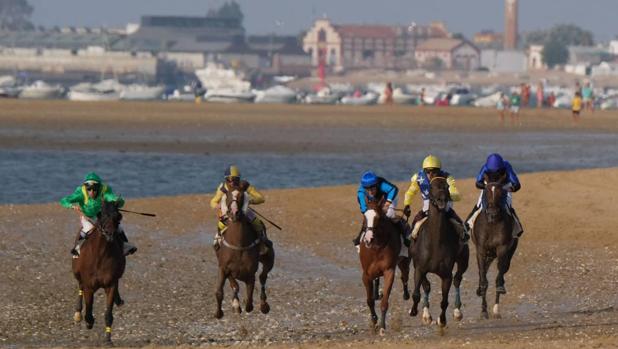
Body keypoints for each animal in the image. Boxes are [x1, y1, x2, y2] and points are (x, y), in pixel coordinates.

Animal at [71, 200, 125, 344]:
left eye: (118, 216)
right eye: (101, 214)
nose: (109, 234)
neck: (100, 256)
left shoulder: (110, 284)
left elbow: (108, 314)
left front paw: (108, 339)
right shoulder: (89, 286)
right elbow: (89, 309)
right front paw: (88, 321)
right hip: (77, 273)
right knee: (80, 287)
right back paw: (78, 313)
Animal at [213, 184, 274, 316]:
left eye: (241, 196)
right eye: (228, 195)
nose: (234, 212)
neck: (238, 244)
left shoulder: (250, 272)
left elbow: (249, 300)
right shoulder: (223, 267)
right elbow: (222, 290)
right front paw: (219, 312)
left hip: (268, 259)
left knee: (263, 277)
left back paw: (264, 305)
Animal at [356, 196, 410, 334]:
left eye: (378, 218)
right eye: (365, 217)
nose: (368, 239)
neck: (376, 248)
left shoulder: (389, 271)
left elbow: (385, 302)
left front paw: (382, 326)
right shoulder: (366, 274)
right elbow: (369, 300)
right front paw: (374, 322)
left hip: (404, 261)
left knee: (405, 277)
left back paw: (406, 294)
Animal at [410, 177, 466, 328]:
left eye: (447, 186)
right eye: (431, 187)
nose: (442, 199)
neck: (435, 243)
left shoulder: (446, 275)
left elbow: (444, 301)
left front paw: (442, 320)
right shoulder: (419, 268)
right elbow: (418, 292)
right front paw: (414, 311)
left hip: (463, 261)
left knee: (457, 279)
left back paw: (457, 312)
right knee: (427, 286)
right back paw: (426, 315)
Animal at [470, 173, 516, 318]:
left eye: (501, 192)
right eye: (486, 192)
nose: (492, 213)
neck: (492, 224)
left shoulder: (502, 249)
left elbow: (498, 278)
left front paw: (495, 309)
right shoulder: (481, 249)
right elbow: (484, 280)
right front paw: (483, 310)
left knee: (502, 270)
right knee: (483, 271)